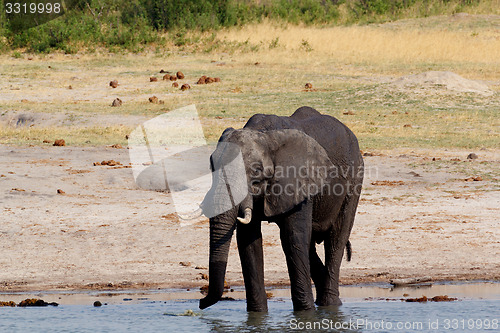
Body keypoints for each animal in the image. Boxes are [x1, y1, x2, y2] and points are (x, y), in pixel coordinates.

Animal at [198, 106, 364, 312]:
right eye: (211, 166)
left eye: (256, 171)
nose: (201, 302)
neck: (263, 134)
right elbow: (248, 242)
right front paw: (258, 315)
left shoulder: (299, 180)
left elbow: (293, 238)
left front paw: (305, 313)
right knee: (311, 246)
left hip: (354, 179)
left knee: (336, 240)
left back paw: (329, 305)